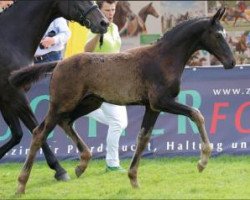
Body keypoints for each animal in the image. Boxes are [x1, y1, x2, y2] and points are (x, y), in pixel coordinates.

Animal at [0, 0, 108, 181]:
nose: (103, 23)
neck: (10, 39)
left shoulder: (6, 98)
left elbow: (17, 134)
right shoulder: (16, 95)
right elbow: (36, 129)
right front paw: (59, 169)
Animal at [10, 8, 235, 194]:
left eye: (225, 34)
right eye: (217, 35)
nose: (231, 62)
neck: (164, 58)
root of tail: (59, 63)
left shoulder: (152, 107)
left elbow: (143, 138)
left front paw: (133, 178)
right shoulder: (162, 101)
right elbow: (197, 114)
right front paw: (202, 161)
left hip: (89, 102)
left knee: (66, 123)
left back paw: (82, 164)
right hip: (61, 104)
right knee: (39, 133)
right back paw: (21, 184)